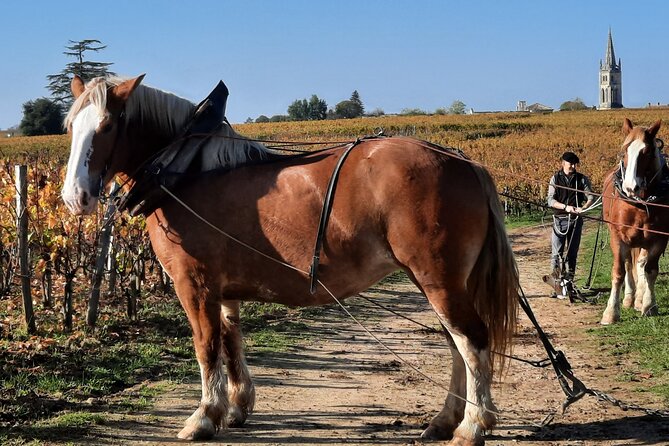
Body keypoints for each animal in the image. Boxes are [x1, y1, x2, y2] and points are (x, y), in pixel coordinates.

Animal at [62, 75, 520, 444]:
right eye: (70, 127)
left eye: (106, 126)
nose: (74, 197)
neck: (185, 172)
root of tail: (462, 160)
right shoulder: (223, 289)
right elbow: (231, 340)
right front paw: (236, 405)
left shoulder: (194, 284)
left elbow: (206, 346)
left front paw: (204, 417)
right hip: (439, 281)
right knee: (456, 343)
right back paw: (445, 420)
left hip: (437, 278)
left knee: (472, 341)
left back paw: (472, 426)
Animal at [600, 118, 664, 324]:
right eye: (624, 151)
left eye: (647, 151)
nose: (630, 187)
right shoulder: (618, 238)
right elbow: (619, 271)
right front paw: (611, 312)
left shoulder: (659, 239)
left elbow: (650, 270)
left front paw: (649, 305)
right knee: (629, 264)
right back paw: (629, 298)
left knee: (640, 264)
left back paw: (639, 298)